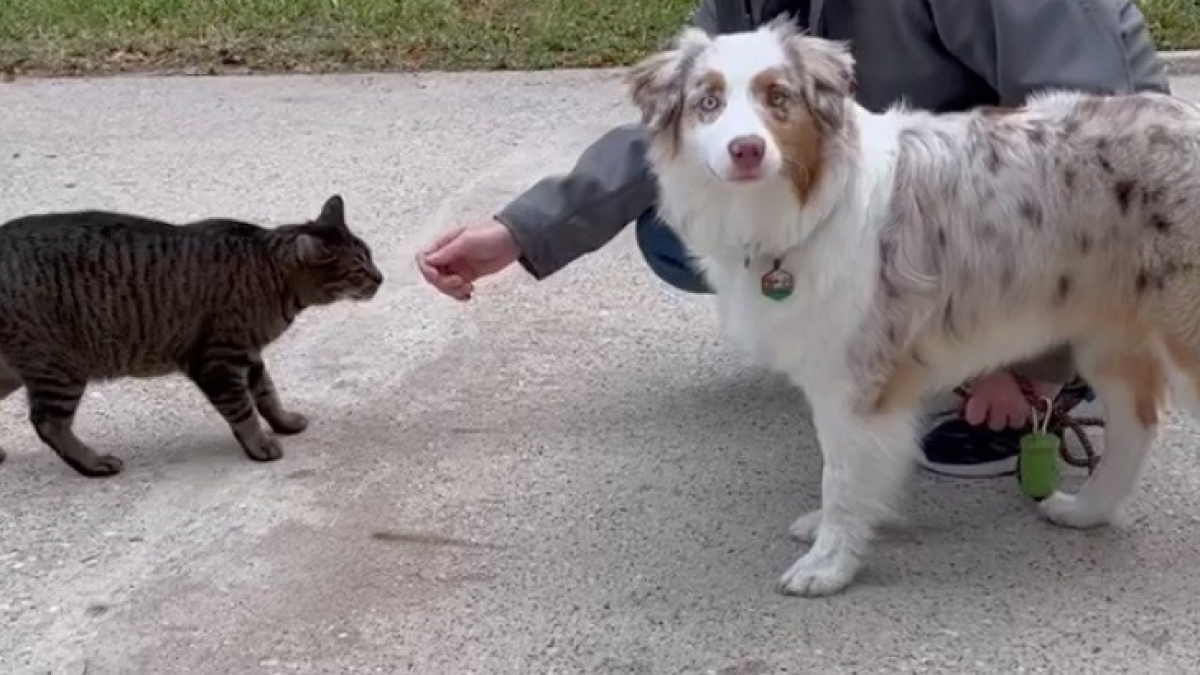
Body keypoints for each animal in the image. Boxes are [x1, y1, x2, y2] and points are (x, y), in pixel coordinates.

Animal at [0, 193, 381, 478]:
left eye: (371, 256)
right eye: (359, 268)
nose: (380, 277)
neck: (268, 273)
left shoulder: (248, 354)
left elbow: (267, 394)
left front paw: (284, 422)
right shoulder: (219, 360)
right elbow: (243, 410)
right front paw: (259, 445)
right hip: (60, 367)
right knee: (48, 423)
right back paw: (93, 463)